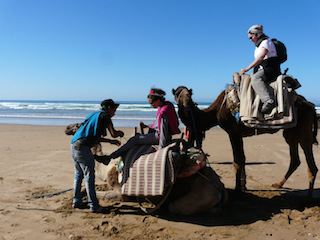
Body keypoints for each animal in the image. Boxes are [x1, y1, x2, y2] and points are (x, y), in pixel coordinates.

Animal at [172, 75, 318, 199]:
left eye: (189, 93)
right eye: (177, 93)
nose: (186, 102)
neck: (216, 111)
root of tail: (310, 105)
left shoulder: (233, 132)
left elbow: (237, 161)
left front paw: (237, 190)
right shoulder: (238, 134)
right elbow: (242, 159)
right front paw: (243, 186)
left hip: (304, 130)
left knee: (310, 161)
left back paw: (308, 199)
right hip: (291, 133)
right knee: (295, 159)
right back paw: (278, 184)